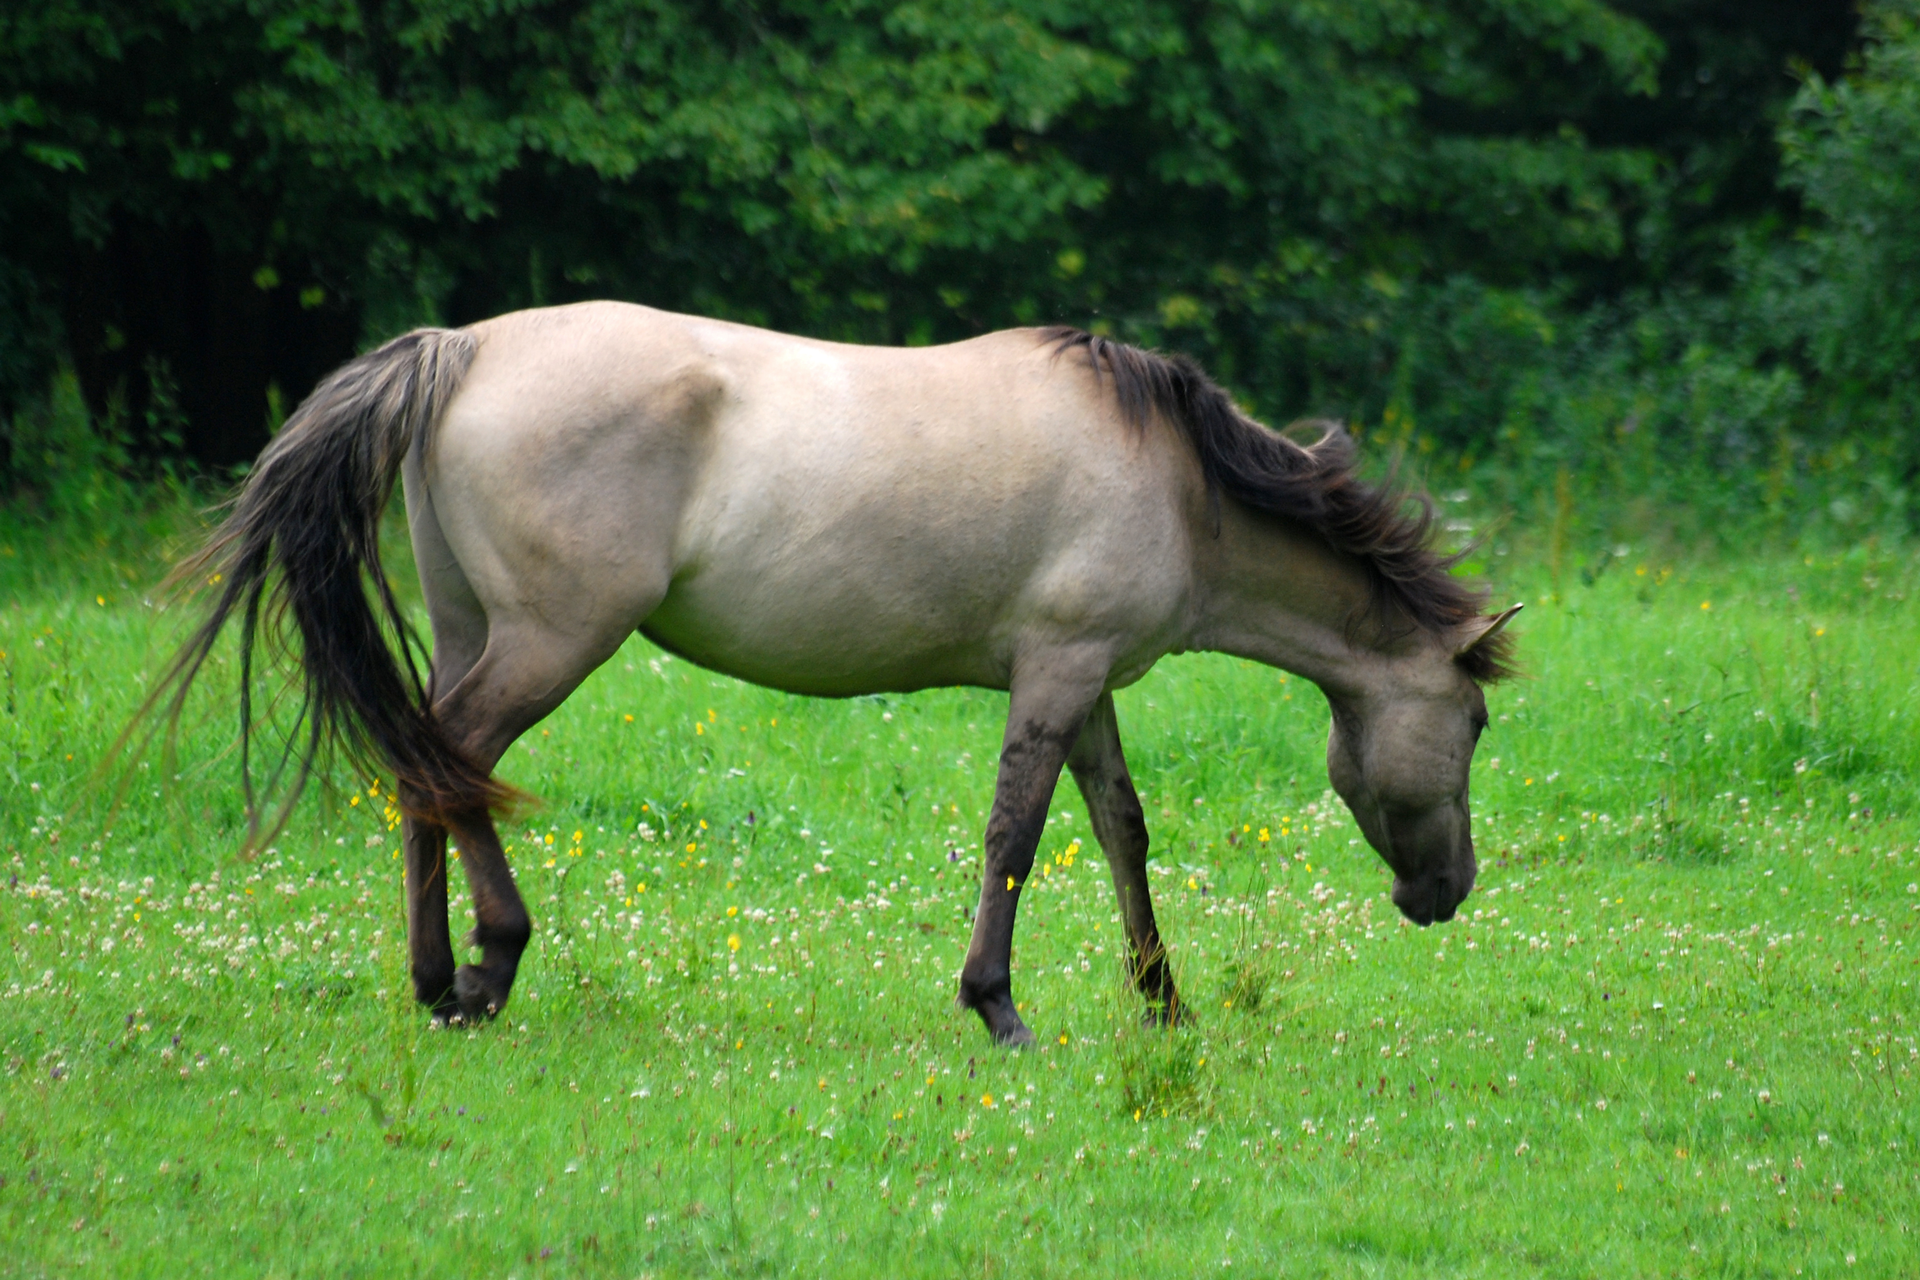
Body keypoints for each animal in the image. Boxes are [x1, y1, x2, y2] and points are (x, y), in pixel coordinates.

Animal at [157, 305, 1512, 1043]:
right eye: (1477, 722)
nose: (1446, 890)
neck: (1178, 482)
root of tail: (462, 349)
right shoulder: (1058, 670)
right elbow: (1017, 833)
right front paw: (997, 1005)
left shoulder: (1088, 681)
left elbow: (1120, 827)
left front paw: (1163, 1001)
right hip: (550, 640)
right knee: (458, 761)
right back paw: (491, 964)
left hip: (469, 626)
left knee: (427, 764)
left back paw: (438, 981)